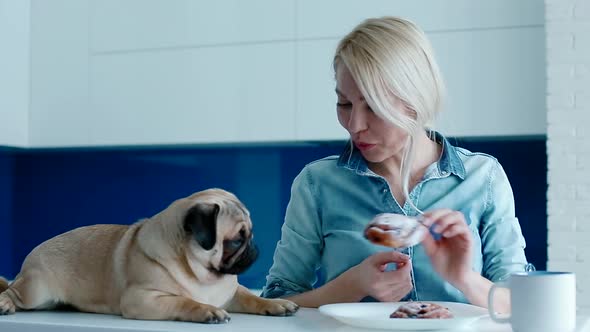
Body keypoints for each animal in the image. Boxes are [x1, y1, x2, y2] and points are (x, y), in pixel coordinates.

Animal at [0, 189, 298, 322]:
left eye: (250, 234)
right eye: (236, 240)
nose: (254, 248)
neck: (202, 276)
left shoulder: (232, 293)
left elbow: (252, 298)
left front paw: (276, 304)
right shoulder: (142, 299)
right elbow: (183, 301)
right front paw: (205, 310)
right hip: (36, 290)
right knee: (12, 291)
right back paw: (5, 303)